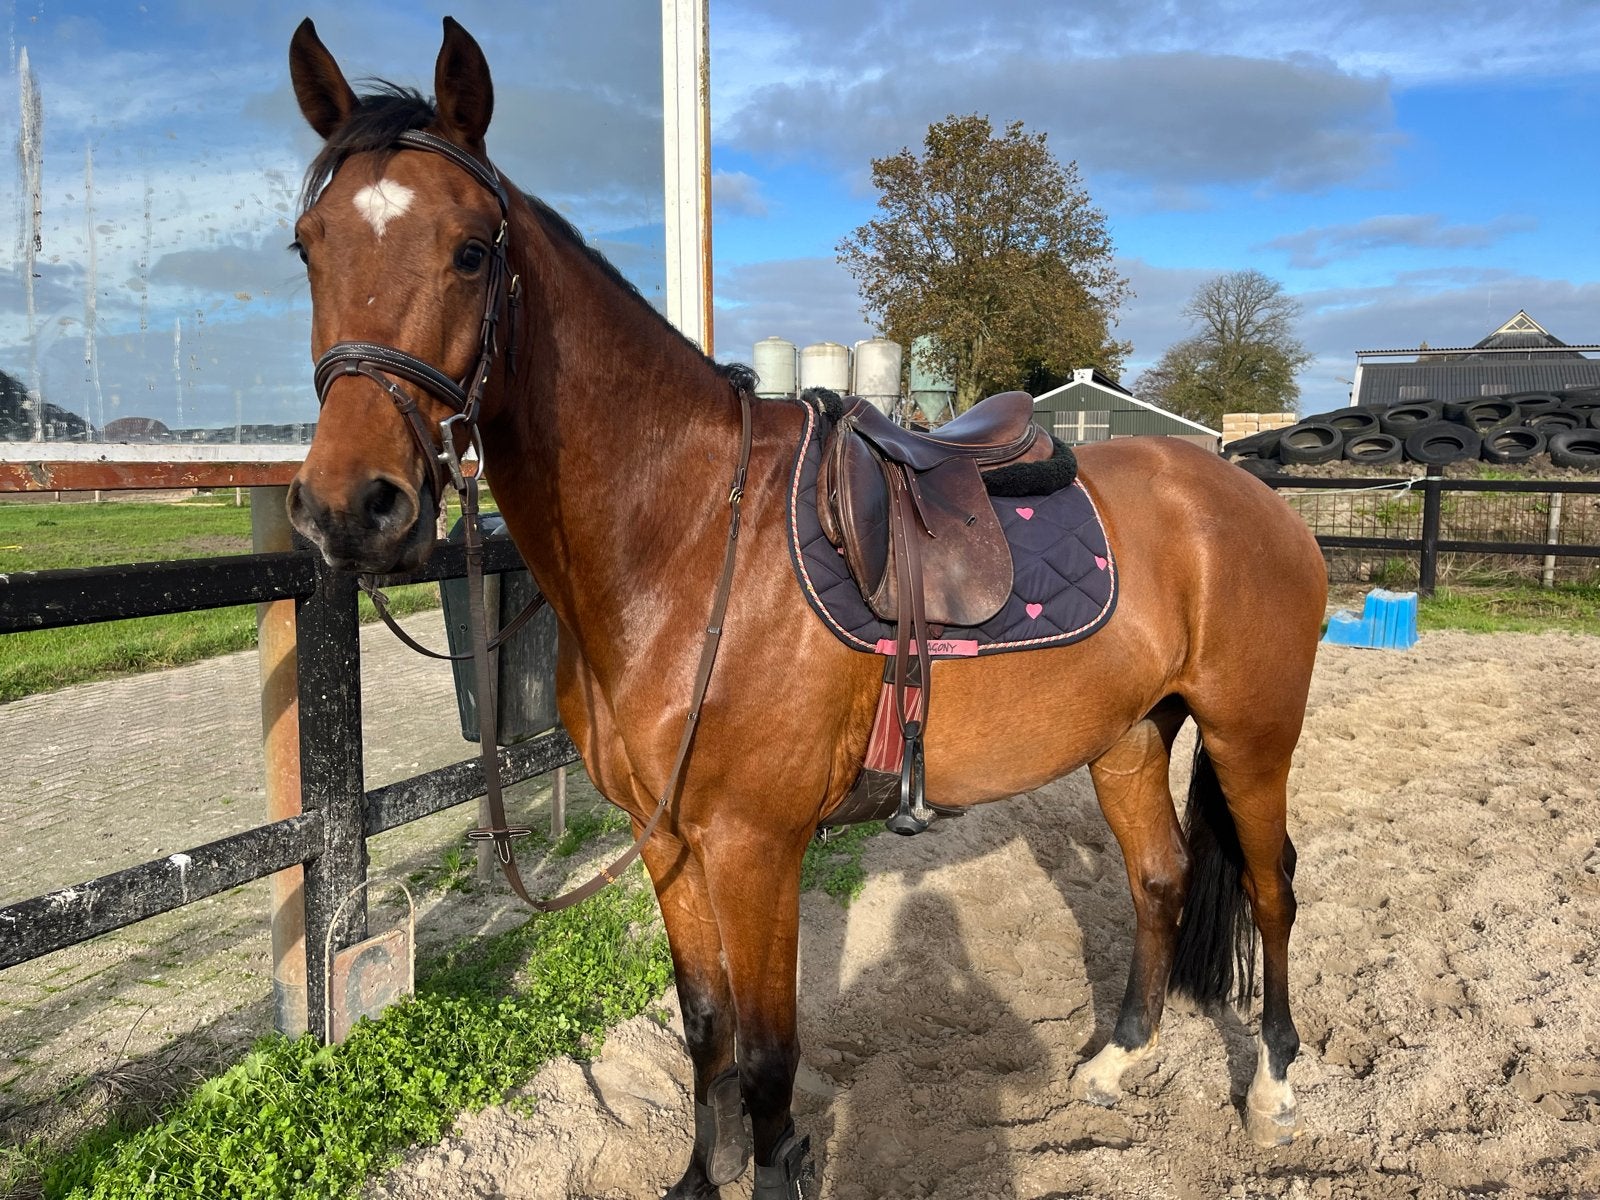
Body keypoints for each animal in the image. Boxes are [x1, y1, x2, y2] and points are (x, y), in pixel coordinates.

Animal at [284, 18, 1328, 1198]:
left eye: (469, 250)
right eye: (308, 247)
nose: (350, 507)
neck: (690, 542)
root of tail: (1245, 491)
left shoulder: (755, 848)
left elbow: (771, 1056)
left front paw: (777, 1164)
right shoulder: (667, 841)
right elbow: (705, 1028)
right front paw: (701, 1176)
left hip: (1251, 734)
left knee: (1272, 888)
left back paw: (1273, 1083)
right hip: (1128, 735)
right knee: (1158, 879)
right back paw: (1118, 1057)